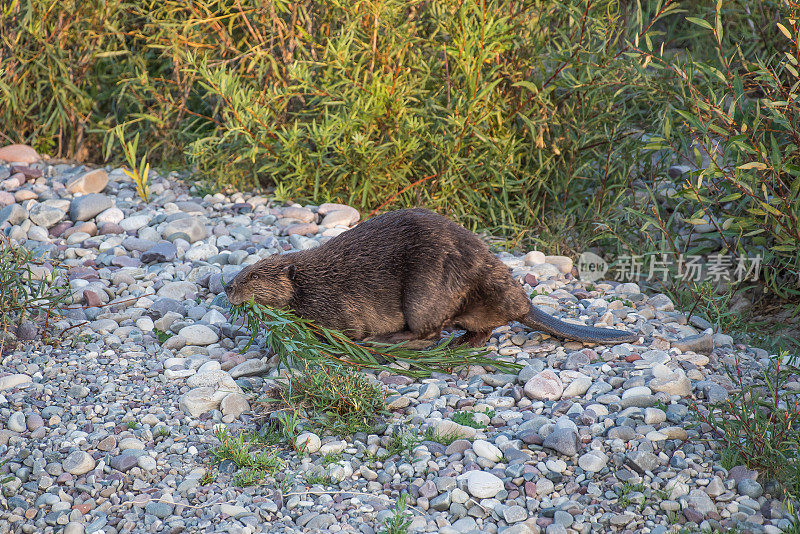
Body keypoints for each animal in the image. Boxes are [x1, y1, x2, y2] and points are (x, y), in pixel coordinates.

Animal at [225, 209, 636, 352]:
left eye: (255, 275)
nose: (227, 287)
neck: (311, 278)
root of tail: (525, 305)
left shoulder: (336, 301)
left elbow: (345, 330)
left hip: (426, 290)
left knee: (429, 332)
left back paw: (395, 341)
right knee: (481, 329)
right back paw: (463, 341)